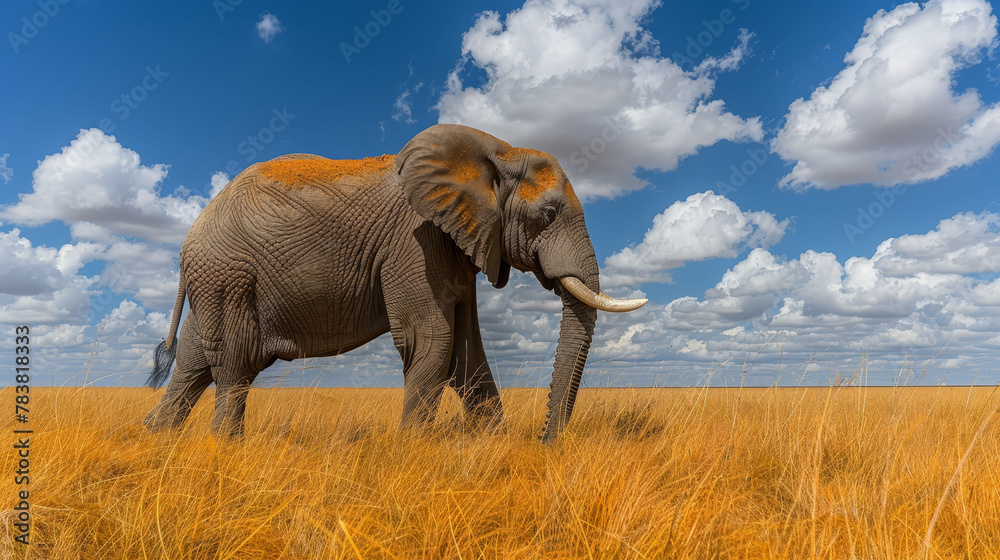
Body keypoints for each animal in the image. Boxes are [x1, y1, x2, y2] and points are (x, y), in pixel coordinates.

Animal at [142, 124, 646, 444]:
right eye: (547, 214)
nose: (545, 444)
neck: (499, 150)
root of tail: (190, 238)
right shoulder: (415, 242)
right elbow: (432, 340)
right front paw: (411, 453)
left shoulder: (457, 242)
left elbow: (467, 353)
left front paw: (493, 448)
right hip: (229, 275)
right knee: (234, 365)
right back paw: (225, 450)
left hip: (215, 280)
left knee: (194, 363)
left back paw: (153, 438)